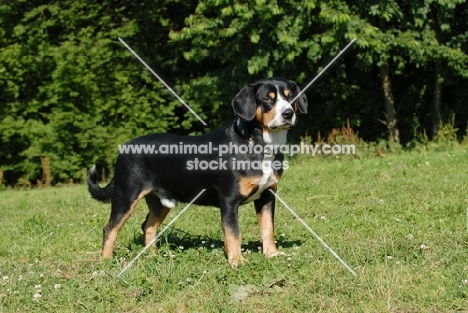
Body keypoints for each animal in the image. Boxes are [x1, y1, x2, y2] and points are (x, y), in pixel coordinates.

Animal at [87, 77, 308, 266]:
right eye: (267, 99)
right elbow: (233, 234)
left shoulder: (267, 195)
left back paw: (154, 257)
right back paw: (106, 261)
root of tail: (125, 147)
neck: (259, 145)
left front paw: (272, 254)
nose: (288, 113)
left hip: (160, 202)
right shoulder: (228, 200)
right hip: (125, 196)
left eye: (290, 96)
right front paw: (236, 262)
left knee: (148, 227)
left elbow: (267, 228)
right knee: (110, 229)